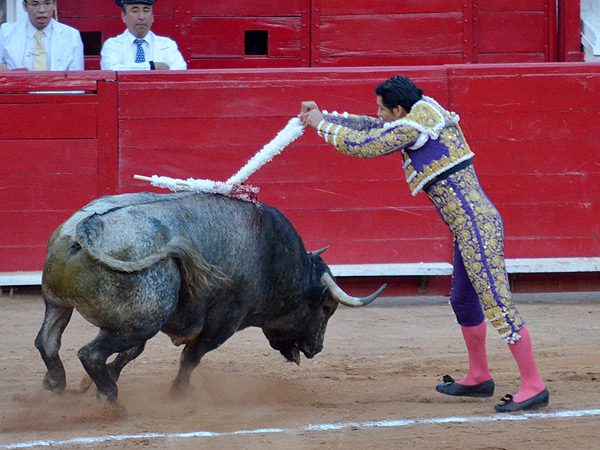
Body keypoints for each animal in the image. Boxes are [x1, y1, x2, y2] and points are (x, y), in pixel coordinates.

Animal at [36, 192, 384, 402]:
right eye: (326, 307)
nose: (316, 349)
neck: (274, 256)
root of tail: (86, 228)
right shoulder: (223, 322)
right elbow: (191, 357)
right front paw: (179, 392)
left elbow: (131, 354)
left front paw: (91, 387)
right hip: (142, 319)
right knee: (90, 354)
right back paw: (111, 401)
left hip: (62, 304)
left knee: (48, 341)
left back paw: (57, 382)